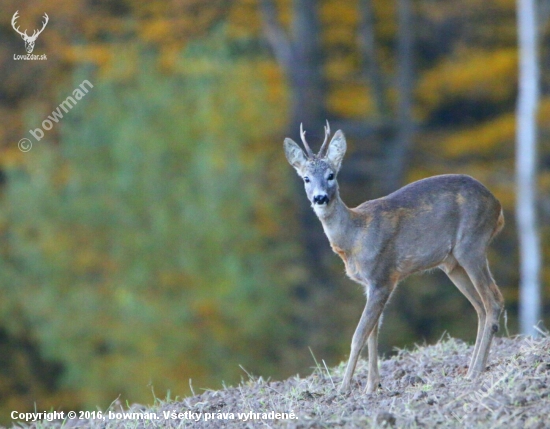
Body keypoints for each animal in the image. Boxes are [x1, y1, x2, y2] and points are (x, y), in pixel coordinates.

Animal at [286, 121, 506, 392]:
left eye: (331, 175)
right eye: (306, 178)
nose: (320, 198)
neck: (354, 237)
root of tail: (498, 206)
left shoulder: (382, 277)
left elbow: (359, 334)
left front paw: (344, 388)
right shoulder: (369, 285)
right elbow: (373, 333)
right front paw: (372, 385)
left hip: (472, 245)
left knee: (493, 301)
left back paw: (476, 372)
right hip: (452, 263)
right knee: (480, 308)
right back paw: (471, 370)